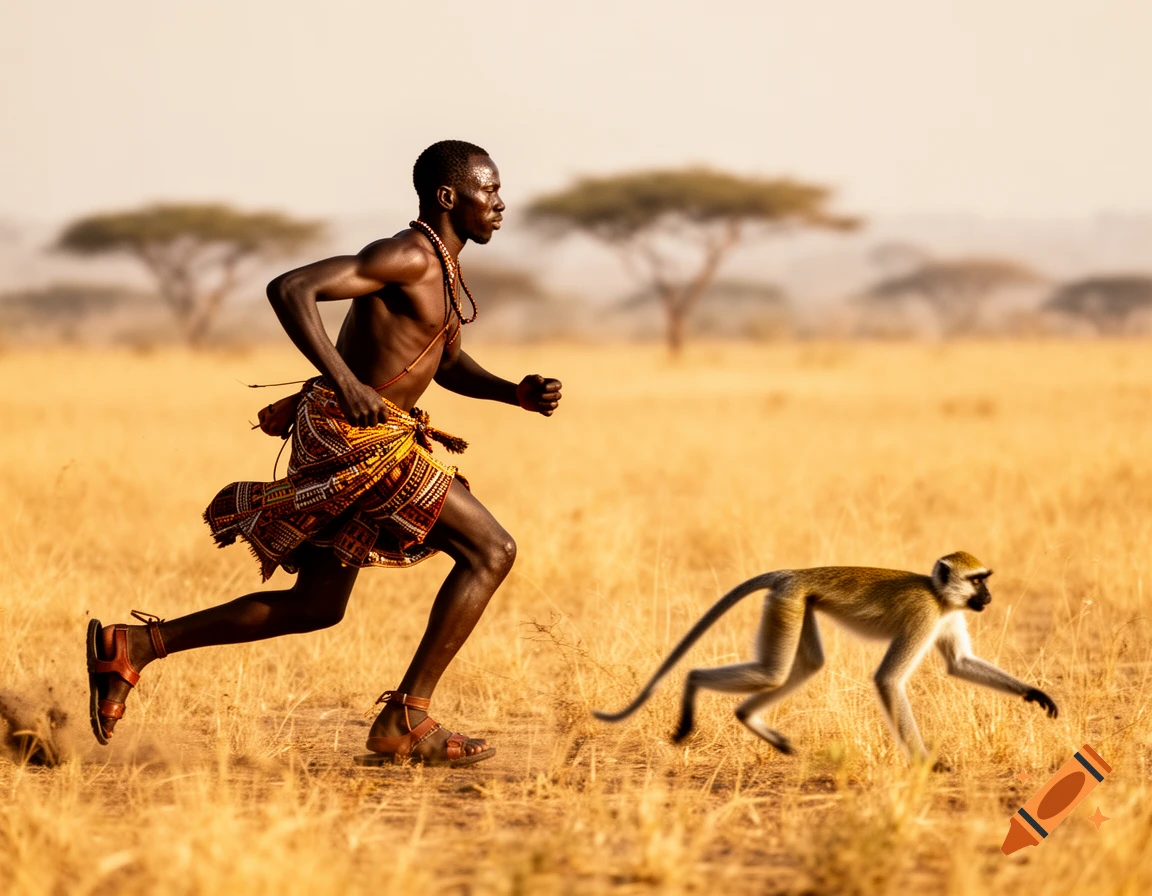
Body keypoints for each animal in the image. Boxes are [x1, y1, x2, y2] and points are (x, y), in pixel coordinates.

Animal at [593, 552, 1058, 764]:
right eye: (977, 581)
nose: (989, 597)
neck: (940, 595)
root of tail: (795, 573)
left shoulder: (948, 616)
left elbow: (958, 664)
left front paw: (1035, 695)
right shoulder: (924, 616)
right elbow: (888, 680)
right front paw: (924, 763)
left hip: (798, 604)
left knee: (802, 667)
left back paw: (749, 718)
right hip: (787, 601)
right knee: (771, 672)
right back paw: (692, 684)